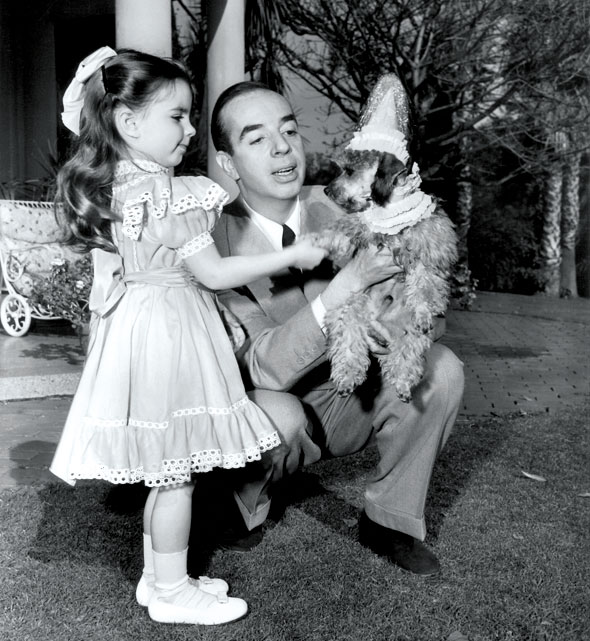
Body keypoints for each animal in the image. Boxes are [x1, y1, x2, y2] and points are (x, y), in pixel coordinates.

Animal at [312, 146, 460, 400]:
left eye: (349, 170)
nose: (326, 190)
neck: (391, 210)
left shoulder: (430, 247)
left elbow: (424, 282)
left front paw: (423, 309)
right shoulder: (364, 227)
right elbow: (345, 227)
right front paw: (319, 240)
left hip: (409, 332)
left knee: (406, 355)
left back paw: (403, 383)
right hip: (348, 309)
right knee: (349, 346)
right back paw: (347, 379)